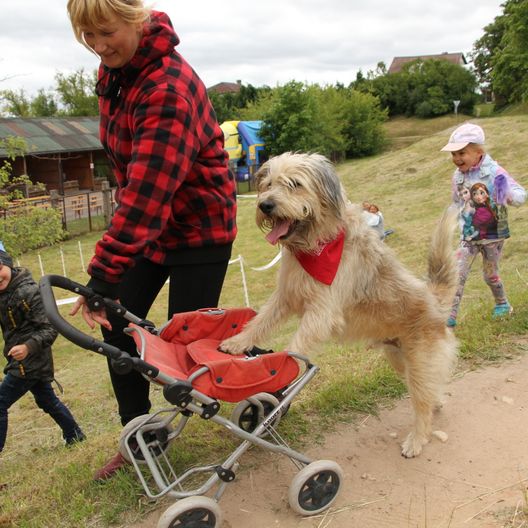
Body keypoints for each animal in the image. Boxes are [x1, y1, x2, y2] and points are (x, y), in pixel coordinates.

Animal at [220, 153, 458, 458]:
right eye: (269, 183)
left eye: (295, 184)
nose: (265, 205)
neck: (316, 245)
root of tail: (435, 300)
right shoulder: (285, 296)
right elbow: (260, 321)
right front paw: (237, 343)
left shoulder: (322, 311)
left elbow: (296, 345)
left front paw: (281, 369)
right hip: (398, 357)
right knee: (431, 390)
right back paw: (436, 403)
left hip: (419, 362)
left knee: (422, 403)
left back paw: (416, 440)